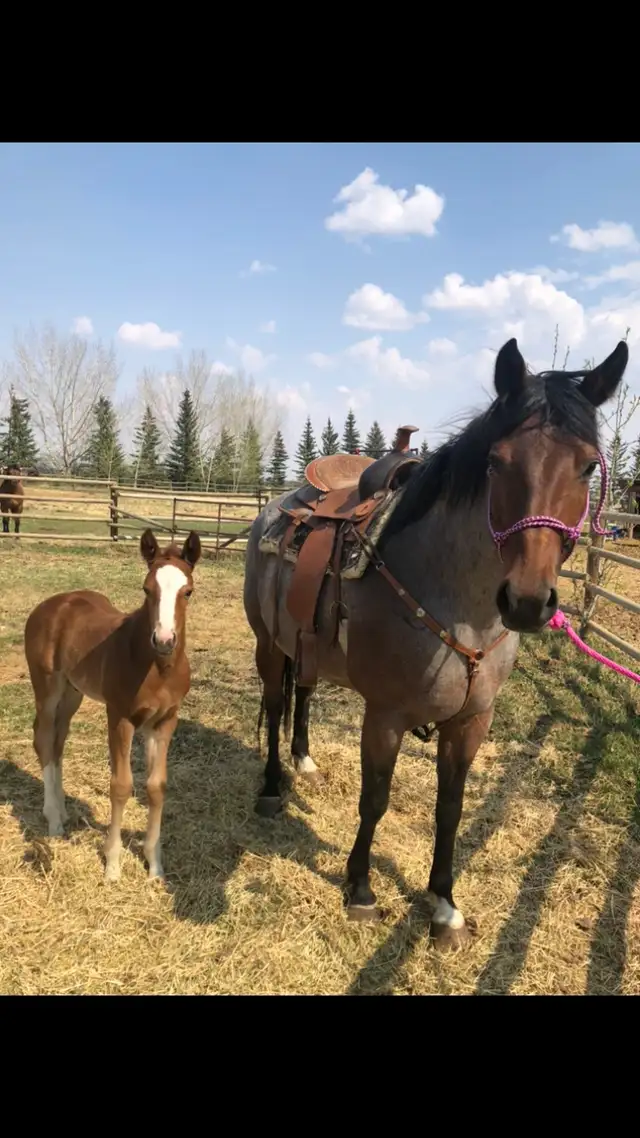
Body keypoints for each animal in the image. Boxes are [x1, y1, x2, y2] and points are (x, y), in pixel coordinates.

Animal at [24, 528, 202, 882]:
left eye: (187, 592)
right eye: (147, 589)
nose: (164, 640)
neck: (156, 668)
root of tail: (52, 604)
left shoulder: (163, 722)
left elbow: (156, 787)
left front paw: (155, 866)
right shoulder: (120, 717)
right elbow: (121, 786)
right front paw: (113, 865)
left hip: (73, 692)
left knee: (59, 740)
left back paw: (62, 810)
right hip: (48, 687)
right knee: (44, 738)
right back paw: (53, 820)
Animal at [243, 337, 628, 950]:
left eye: (589, 465)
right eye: (496, 462)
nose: (526, 600)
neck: (454, 604)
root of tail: (275, 509)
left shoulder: (471, 721)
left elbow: (451, 808)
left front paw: (444, 906)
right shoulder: (385, 715)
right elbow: (375, 799)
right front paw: (360, 890)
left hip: (307, 645)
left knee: (302, 694)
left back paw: (304, 761)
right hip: (269, 642)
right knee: (277, 703)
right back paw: (274, 786)